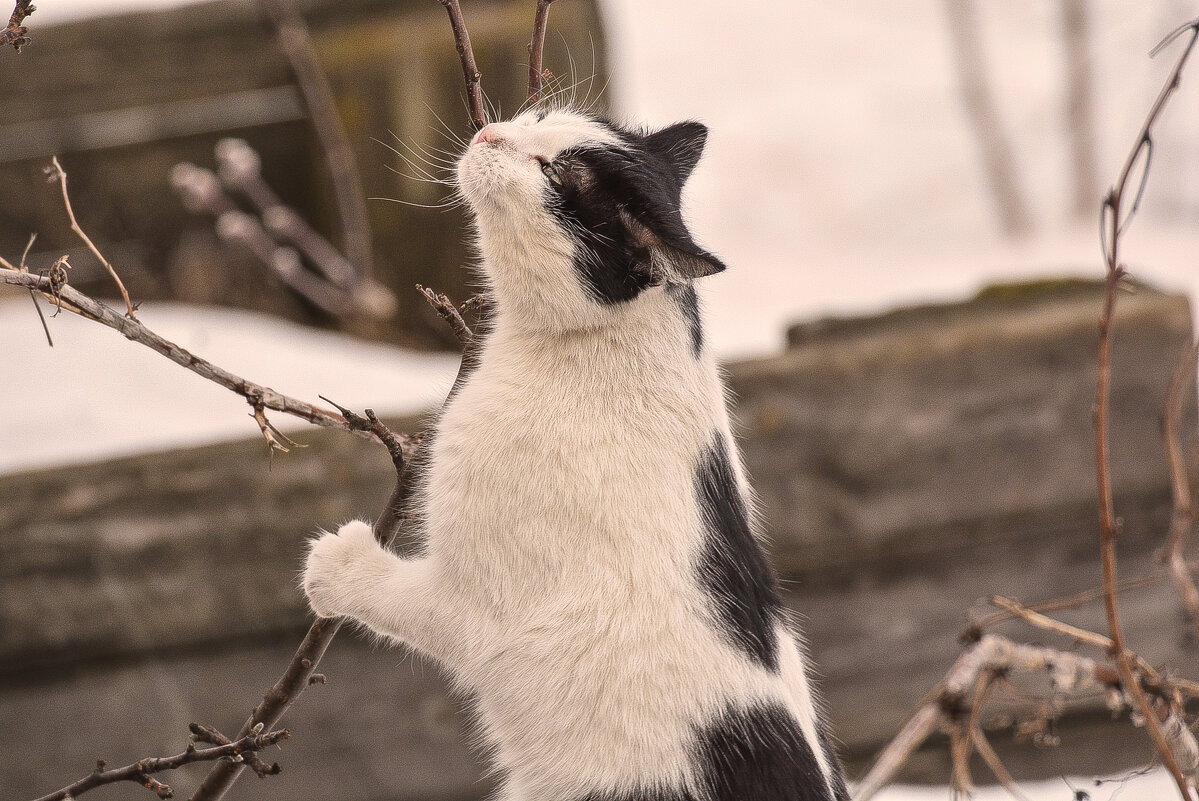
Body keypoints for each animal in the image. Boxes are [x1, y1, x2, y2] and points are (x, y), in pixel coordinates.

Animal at [299, 107, 848, 801]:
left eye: (556, 175)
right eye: (538, 118)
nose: (491, 133)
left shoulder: (477, 607)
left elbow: (401, 598)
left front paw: (336, 568)